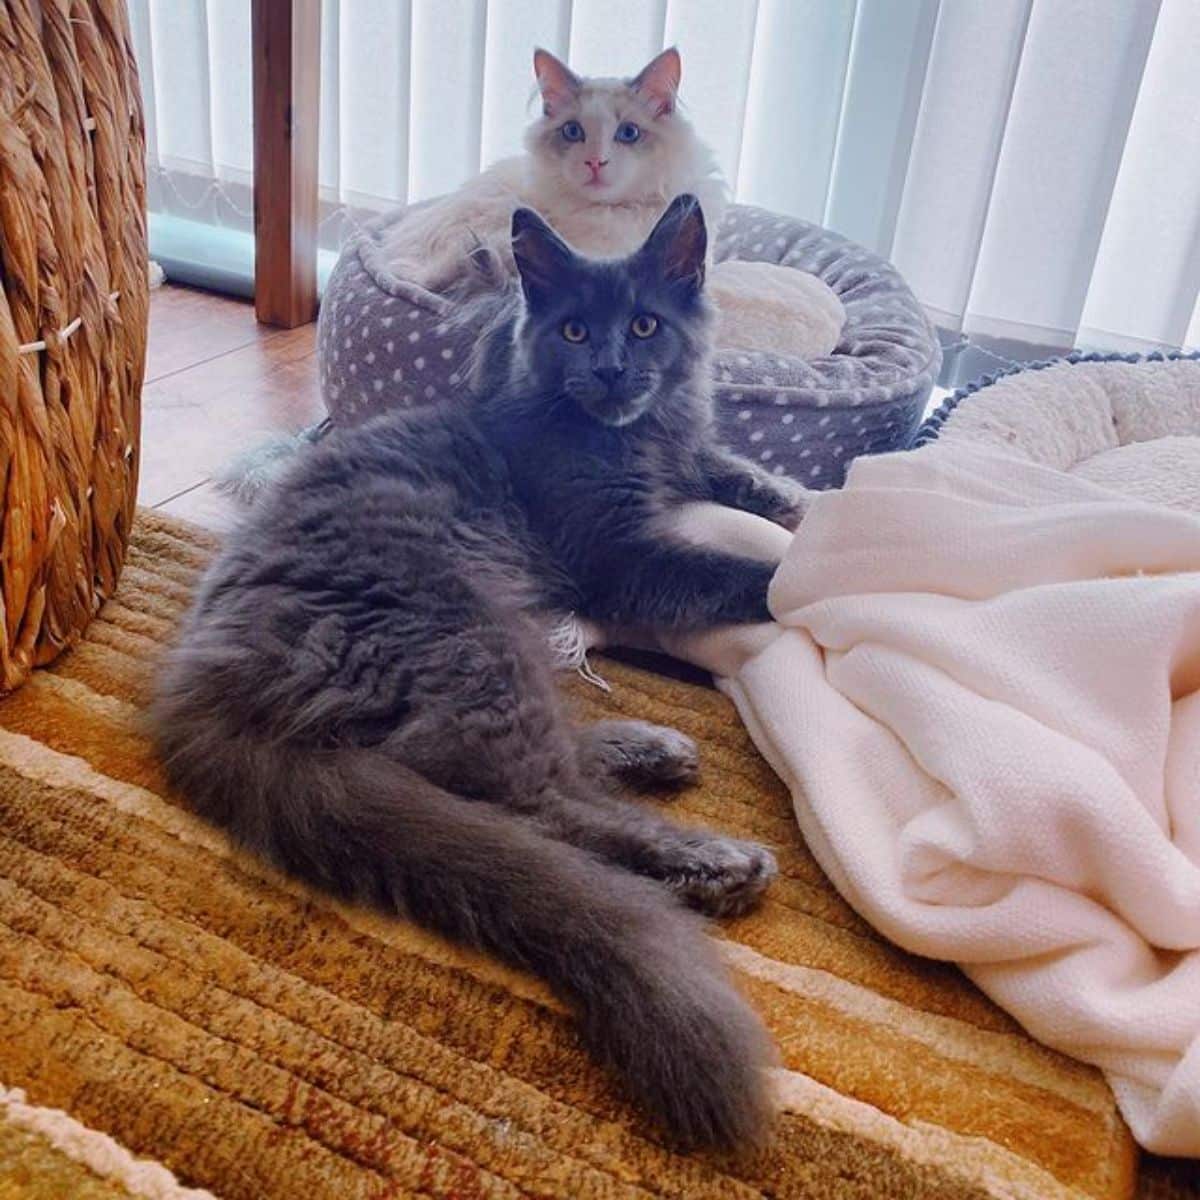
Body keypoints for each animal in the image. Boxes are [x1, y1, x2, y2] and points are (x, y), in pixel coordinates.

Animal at [150, 196, 806, 1152]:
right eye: (575, 330)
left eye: (646, 325)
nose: (611, 368)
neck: (624, 434)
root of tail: (203, 675)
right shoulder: (619, 557)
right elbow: (733, 571)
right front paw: (818, 570)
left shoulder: (675, 456)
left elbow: (722, 460)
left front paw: (788, 492)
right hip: (471, 633)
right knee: (537, 806)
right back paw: (712, 862)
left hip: (495, 651)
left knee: (528, 769)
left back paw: (650, 751)